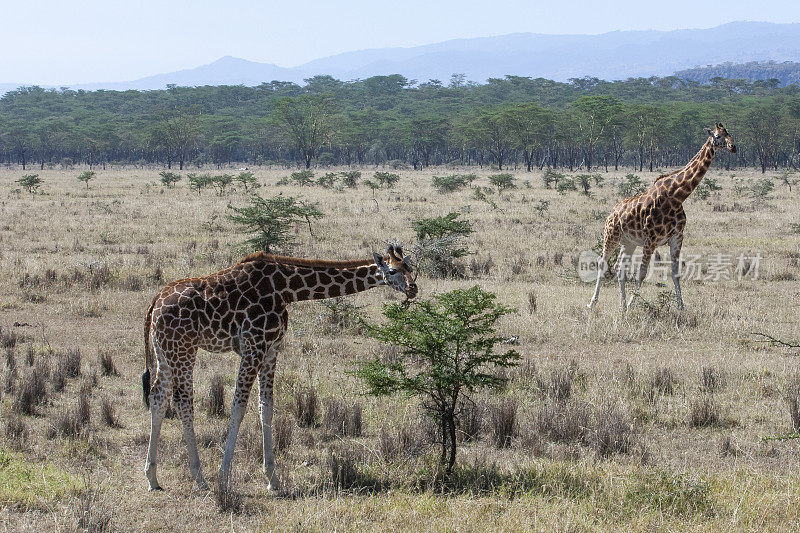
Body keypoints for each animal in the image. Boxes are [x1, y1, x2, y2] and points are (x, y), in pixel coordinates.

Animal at [142, 242, 418, 490]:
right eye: (392, 271)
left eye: (410, 267)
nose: (413, 288)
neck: (286, 289)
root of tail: (154, 303)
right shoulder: (254, 345)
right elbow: (238, 408)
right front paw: (224, 477)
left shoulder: (271, 348)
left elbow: (266, 408)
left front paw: (272, 479)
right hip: (184, 348)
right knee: (182, 402)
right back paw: (200, 479)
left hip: (164, 351)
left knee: (157, 397)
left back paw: (152, 478)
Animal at [588, 122, 736, 310]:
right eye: (717, 136)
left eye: (729, 134)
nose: (733, 147)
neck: (676, 197)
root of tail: (612, 211)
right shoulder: (651, 240)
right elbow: (642, 273)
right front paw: (632, 303)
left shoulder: (677, 237)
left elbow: (675, 273)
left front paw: (682, 307)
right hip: (611, 235)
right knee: (603, 262)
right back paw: (593, 302)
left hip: (629, 242)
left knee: (619, 266)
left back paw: (622, 304)